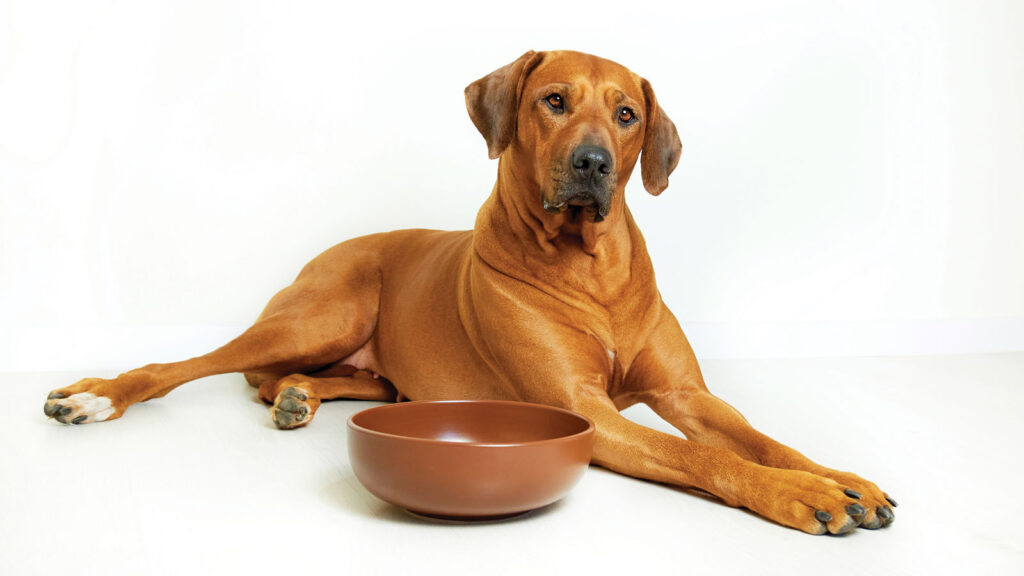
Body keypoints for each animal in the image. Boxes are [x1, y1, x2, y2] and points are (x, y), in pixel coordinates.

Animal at [41, 51, 897, 532]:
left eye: (626, 114)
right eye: (554, 100)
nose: (594, 163)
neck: (588, 267)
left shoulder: (689, 394)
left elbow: (759, 438)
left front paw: (840, 477)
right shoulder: (584, 414)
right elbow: (705, 457)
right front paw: (799, 496)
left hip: (369, 361)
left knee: (334, 382)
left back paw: (299, 396)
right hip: (323, 312)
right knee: (192, 366)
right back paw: (97, 395)